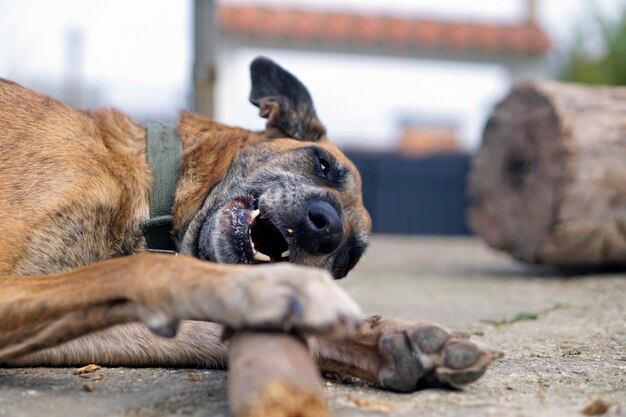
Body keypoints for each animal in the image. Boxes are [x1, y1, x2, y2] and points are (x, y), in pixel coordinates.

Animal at [0, 57, 498, 390]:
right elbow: (147, 267)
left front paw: (391, 340)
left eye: (346, 260)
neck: (152, 181)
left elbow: (199, 325)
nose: (326, 229)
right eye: (322, 164)